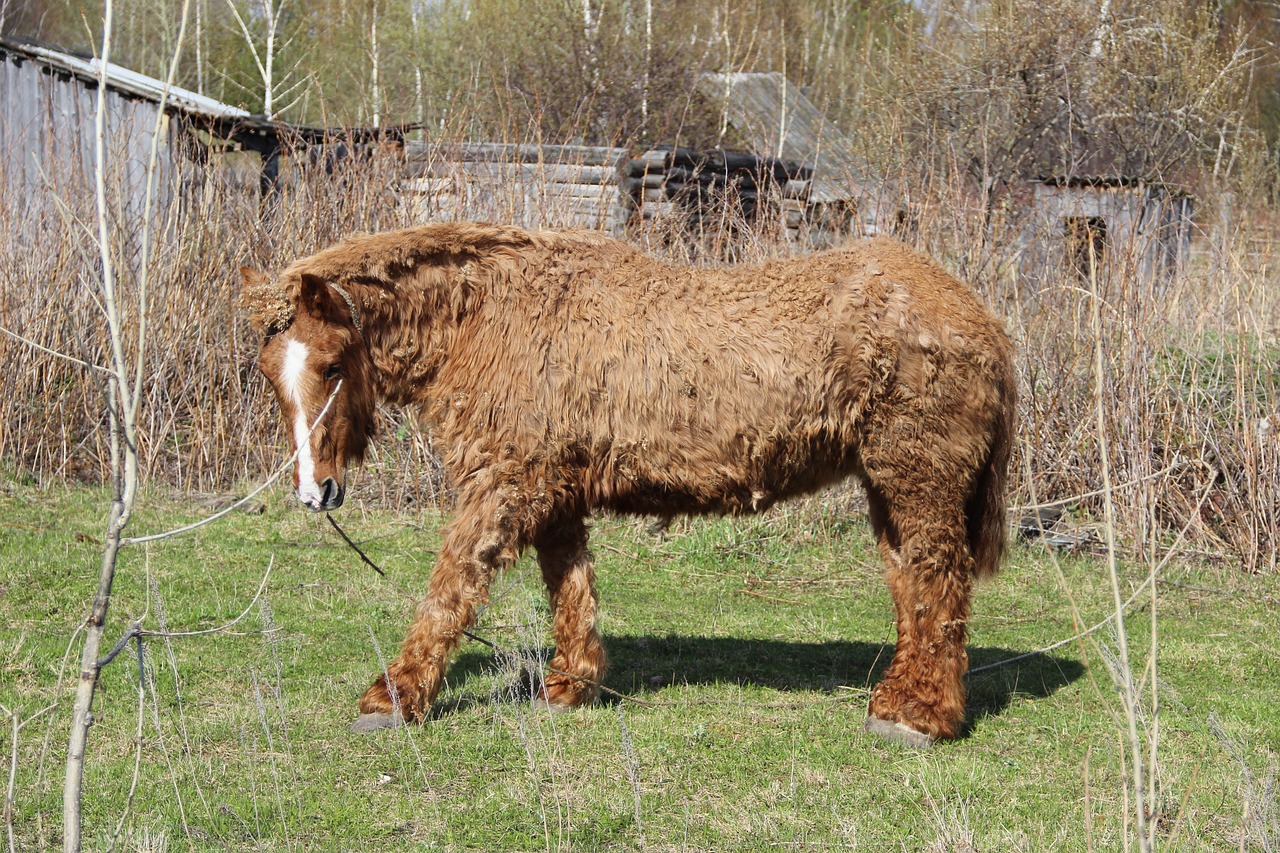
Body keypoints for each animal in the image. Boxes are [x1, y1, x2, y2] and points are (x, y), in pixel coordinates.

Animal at [240, 219, 1013, 742]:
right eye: (271, 372)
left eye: (331, 365)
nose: (314, 491)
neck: (492, 317)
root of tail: (981, 318)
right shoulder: (553, 493)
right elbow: (570, 586)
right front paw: (571, 684)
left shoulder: (504, 486)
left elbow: (450, 589)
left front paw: (394, 696)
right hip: (889, 487)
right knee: (913, 586)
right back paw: (899, 698)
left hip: (919, 480)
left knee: (940, 580)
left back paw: (922, 715)